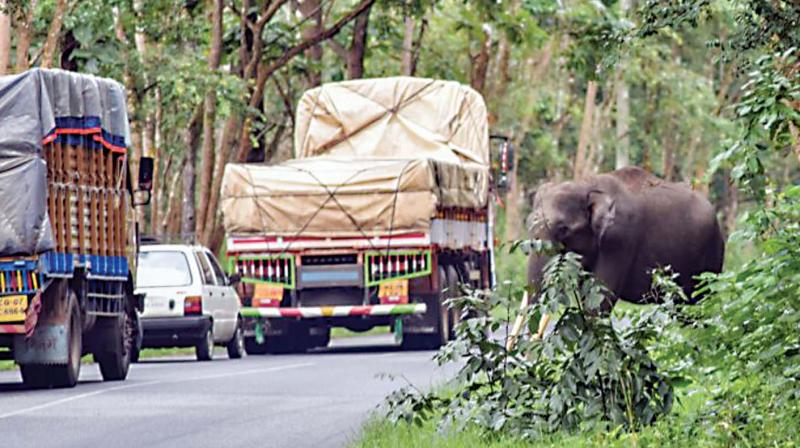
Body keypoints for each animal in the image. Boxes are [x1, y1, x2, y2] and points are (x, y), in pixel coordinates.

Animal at [524, 166, 724, 306]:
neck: (586, 184)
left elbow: (599, 300)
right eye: (528, 223)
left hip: (711, 260)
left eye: (564, 228)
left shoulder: (620, 239)